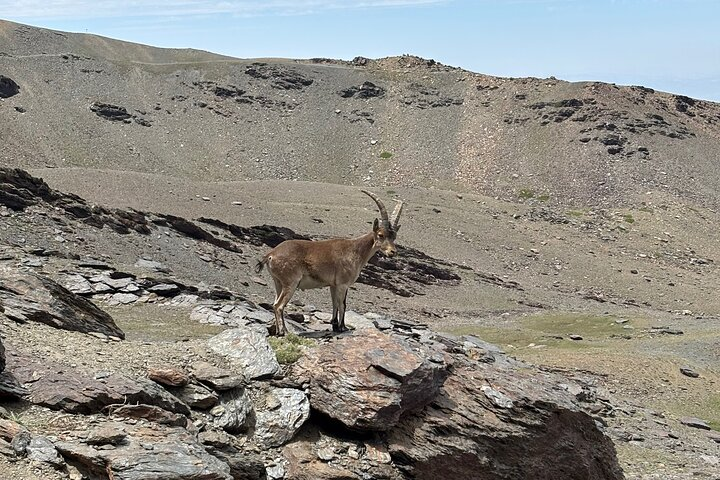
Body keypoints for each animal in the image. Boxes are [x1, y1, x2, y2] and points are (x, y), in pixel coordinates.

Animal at [255, 190, 403, 336]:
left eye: (394, 236)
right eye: (380, 235)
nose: (392, 252)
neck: (355, 250)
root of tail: (271, 255)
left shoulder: (333, 285)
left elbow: (335, 304)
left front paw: (335, 325)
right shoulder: (343, 284)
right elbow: (342, 304)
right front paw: (342, 328)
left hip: (278, 282)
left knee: (274, 303)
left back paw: (279, 331)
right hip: (291, 282)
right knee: (279, 305)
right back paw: (284, 332)